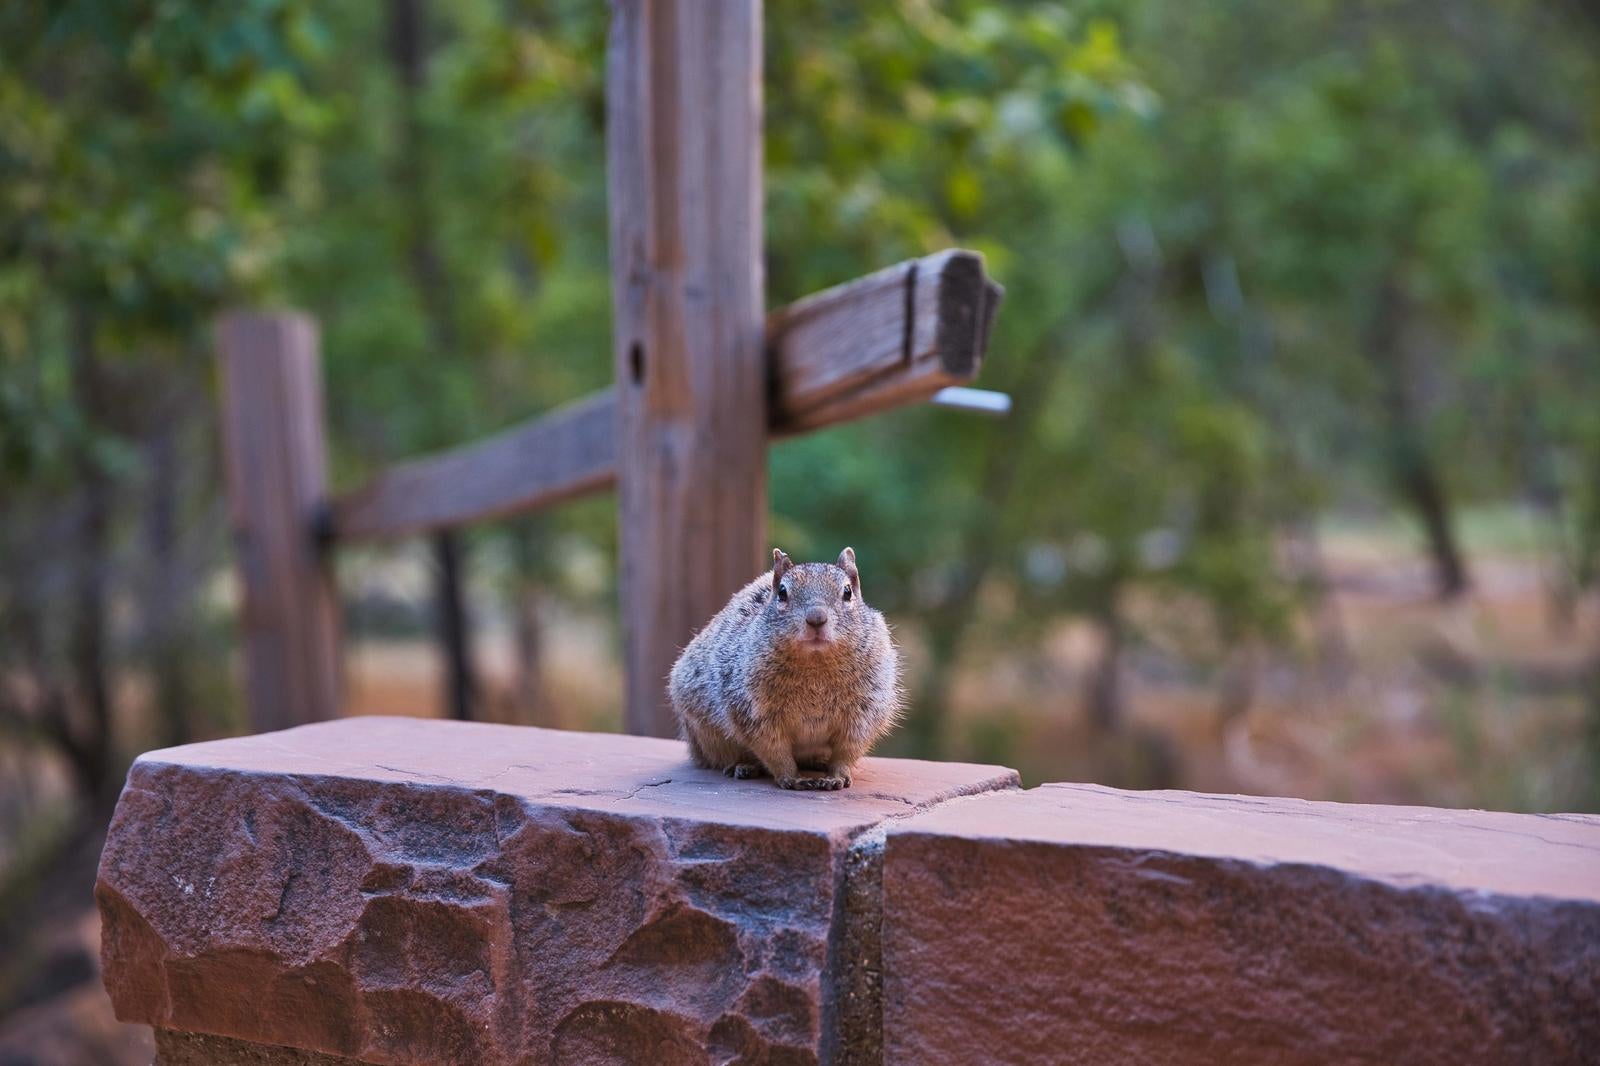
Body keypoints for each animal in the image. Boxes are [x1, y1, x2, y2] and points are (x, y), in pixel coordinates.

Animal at [668, 547, 901, 790]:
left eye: (847, 592)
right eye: (782, 592)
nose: (816, 618)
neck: (816, 665)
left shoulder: (864, 714)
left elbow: (847, 750)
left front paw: (837, 776)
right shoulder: (754, 712)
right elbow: (775, 750)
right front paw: (791, 777)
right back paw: (742, 766)